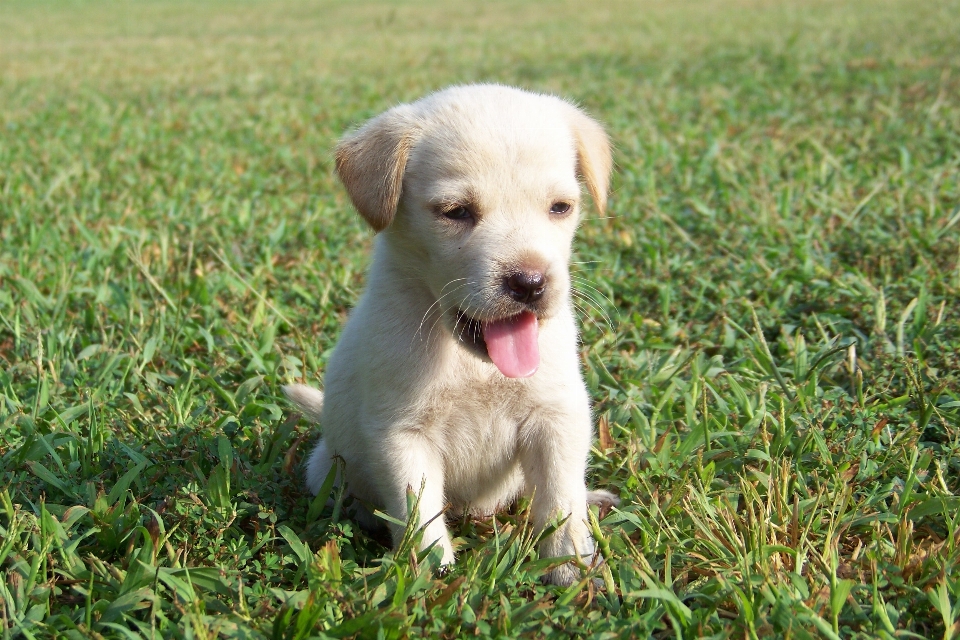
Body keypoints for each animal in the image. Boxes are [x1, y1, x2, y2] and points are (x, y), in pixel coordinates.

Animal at [284, 85, 616, 584]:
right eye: (456, 212)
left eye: (561, 207)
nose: (530, 283)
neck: (474, 364)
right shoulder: (401, 434)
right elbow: (417, 513)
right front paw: (427, 575)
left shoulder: (557, 415)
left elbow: (559, 495)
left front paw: (569, 561)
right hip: (326, 466)